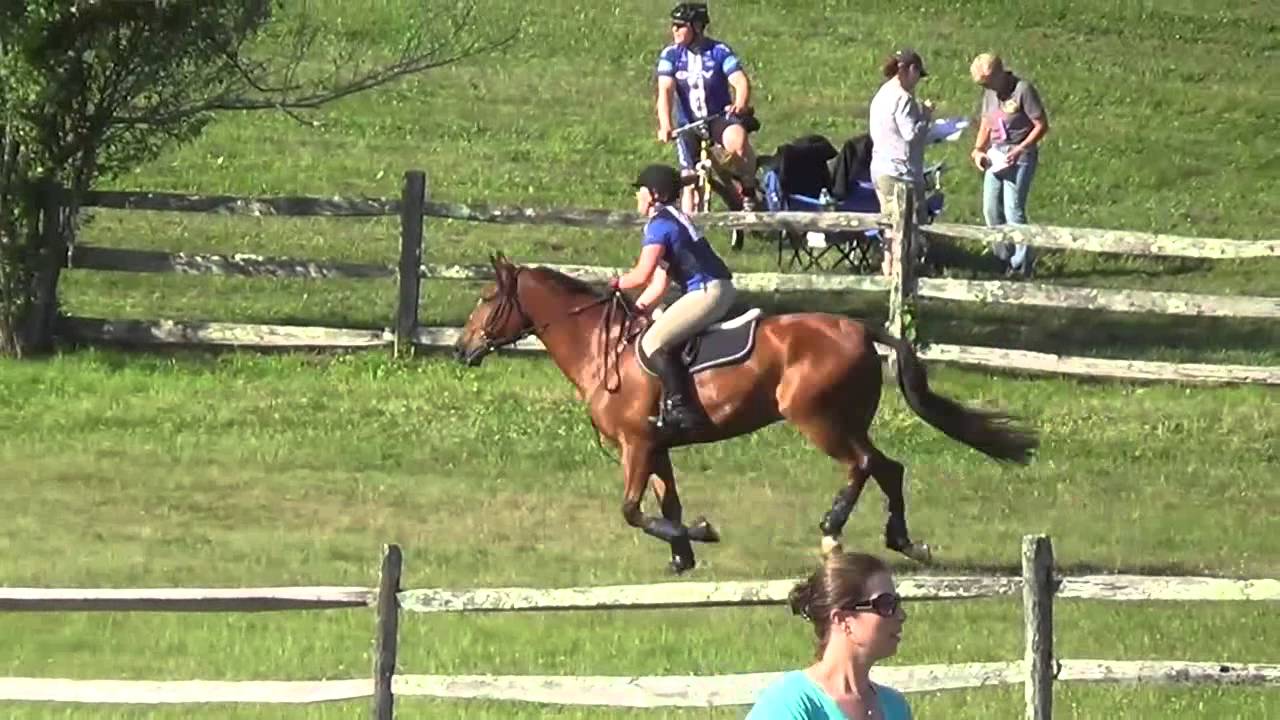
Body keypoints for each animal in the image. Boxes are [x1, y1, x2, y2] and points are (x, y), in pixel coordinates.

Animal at [454, 253, 1038, 573]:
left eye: (484, 297)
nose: (462, 349)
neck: (604, 347)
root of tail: (858, 328)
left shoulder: (636, 446)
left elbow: (631, 510)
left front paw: (702, 533)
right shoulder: (656, 446)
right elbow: (666, 503)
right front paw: (682, 555)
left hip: (818, 420)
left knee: (863, 466)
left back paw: (832, 532)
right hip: (848, 419)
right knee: (888, 467)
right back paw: (904, 542)